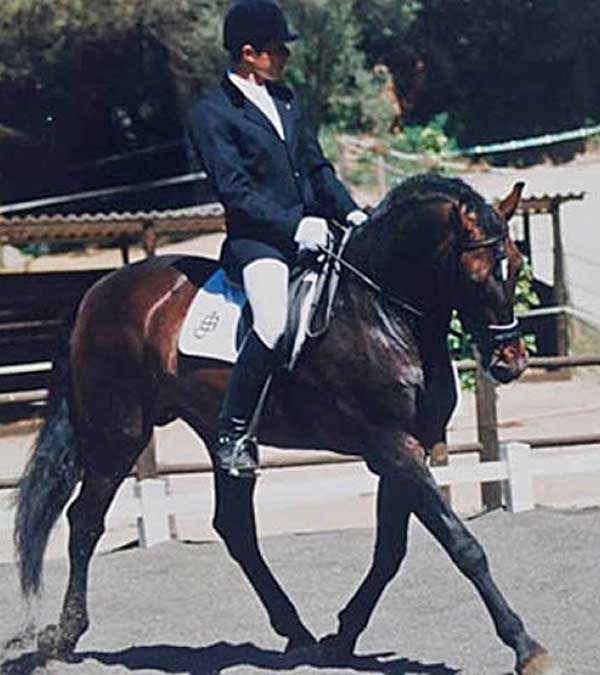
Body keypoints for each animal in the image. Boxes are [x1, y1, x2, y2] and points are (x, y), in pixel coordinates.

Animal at [14, 173, 561, 675]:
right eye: (479, 275)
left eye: (517, 267)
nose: (511, 362)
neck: (383, 312)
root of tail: (96, 292)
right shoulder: (392, 446)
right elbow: (462, 545)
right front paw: (526, 646)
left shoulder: (407, 450)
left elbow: (391, 551)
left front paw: (342, 636)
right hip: (118, 432)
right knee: (85, 521)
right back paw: (64, 637)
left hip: (218, 435)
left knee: (234, 528)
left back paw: (297, 635)